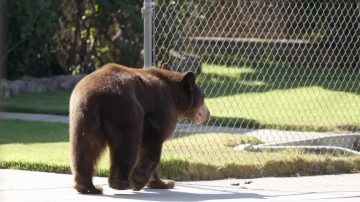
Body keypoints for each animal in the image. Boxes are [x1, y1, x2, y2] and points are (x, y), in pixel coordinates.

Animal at [69, 63, 210, 194]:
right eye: (203, 96)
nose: (208, 113)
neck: (175, 98)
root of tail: (96, 96)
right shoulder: (161, 109)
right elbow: (151, 142)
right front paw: (139, 180)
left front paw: (164, 183)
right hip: (126, 111)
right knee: (127, 144)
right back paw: (121, 183)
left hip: (83, 116)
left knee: (85, 147)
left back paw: (88, 187)